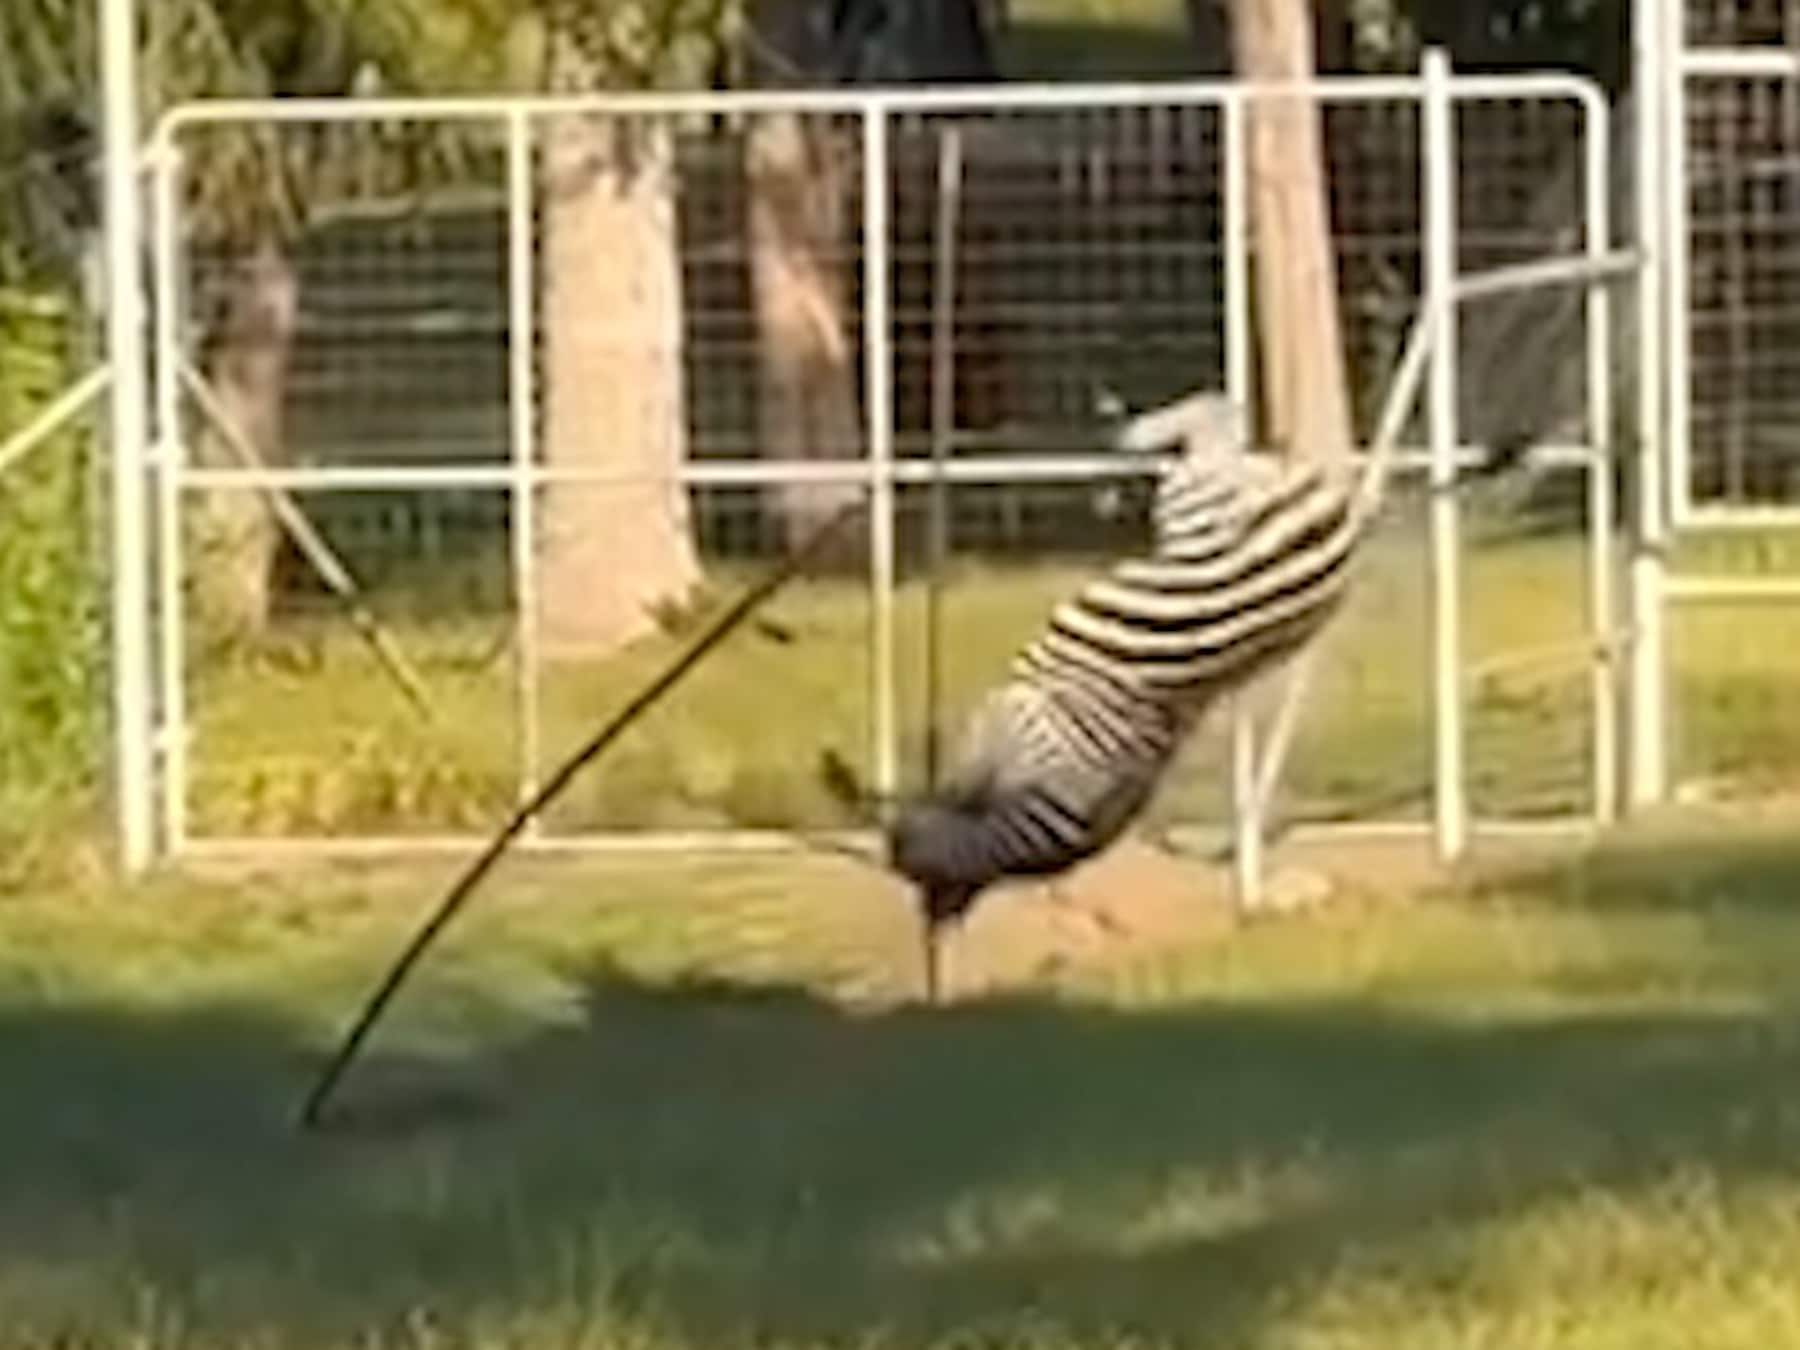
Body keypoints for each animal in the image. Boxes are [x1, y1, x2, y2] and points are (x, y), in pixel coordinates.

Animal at [885, 392, 1370, 934]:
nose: (893, 839)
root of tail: (1335, 523)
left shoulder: (1011, 724)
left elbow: (968, 766)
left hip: (1195, 498)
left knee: (1210, 419)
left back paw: (1135, 433)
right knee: (1221, 425)